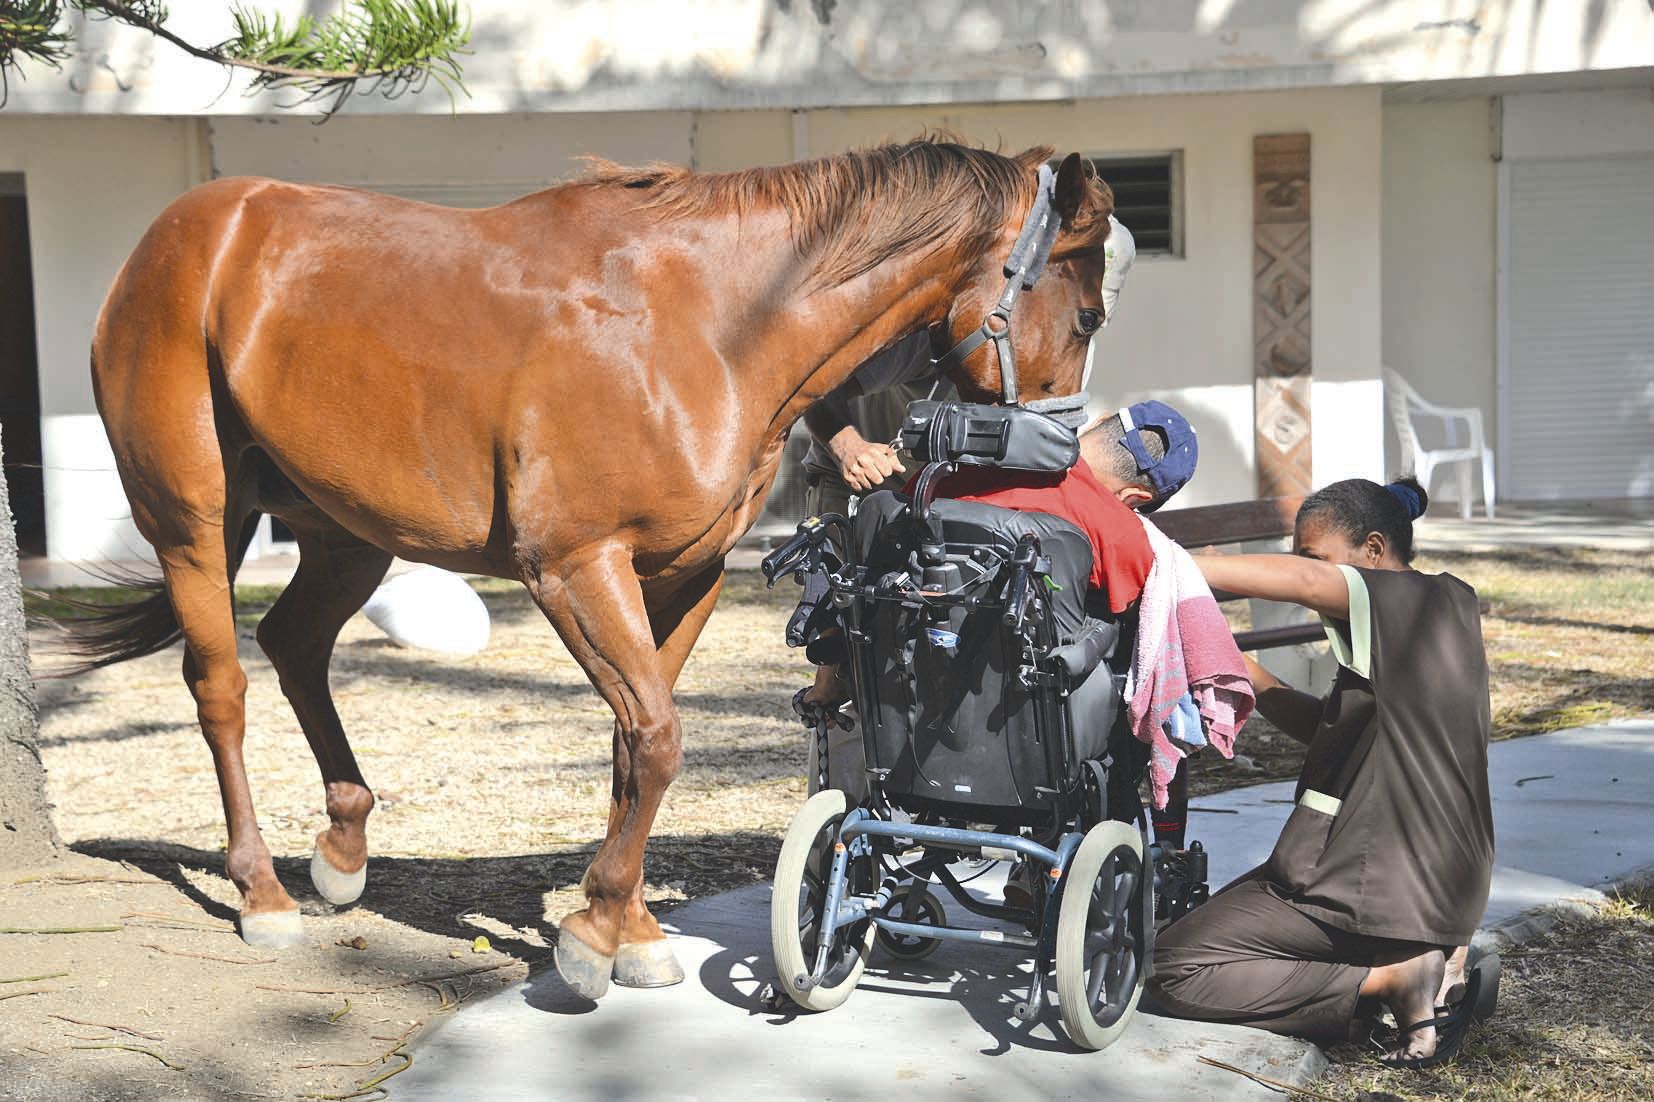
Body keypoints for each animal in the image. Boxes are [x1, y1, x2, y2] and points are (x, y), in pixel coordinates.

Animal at [74, 139, 1111, 992]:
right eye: (1088, 312)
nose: (1062, 463)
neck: (708, 325)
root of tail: (176, 238)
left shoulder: (683, 574)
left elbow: (633, 745)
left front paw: (630, 925)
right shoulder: (575, 567)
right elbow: (655, 739)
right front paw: (596, 936)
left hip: (346, 531)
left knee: (295, 645)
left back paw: (343, 845)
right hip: (194, 524)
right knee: (221, 687)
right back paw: (261, 892)